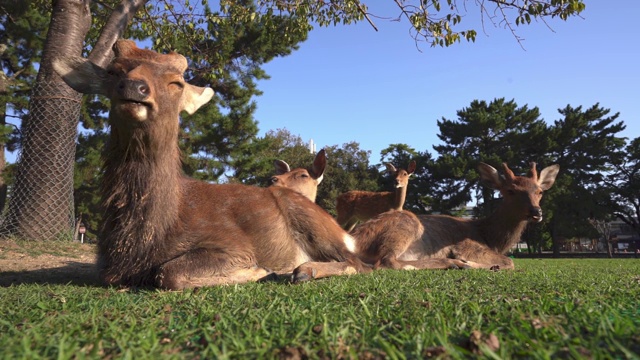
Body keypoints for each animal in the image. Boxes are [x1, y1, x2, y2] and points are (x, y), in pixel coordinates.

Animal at [53, 38, 380, 290]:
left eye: (176, 82)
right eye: (113, 71)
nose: (134, 87)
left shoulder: (233, 244)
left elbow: (169, 273)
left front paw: (259, 270)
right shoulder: (106, 267)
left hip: (317, 224)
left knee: (361, 263)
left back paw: (302, 270)